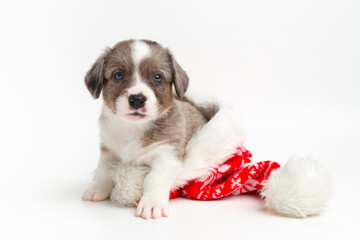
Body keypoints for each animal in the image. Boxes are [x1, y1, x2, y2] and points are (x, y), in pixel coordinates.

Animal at [82, 39, 210, 219]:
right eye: (118, 75)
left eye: (158, 77)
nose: (137, 99)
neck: (134, 128)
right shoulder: (108, 149)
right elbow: (103, 170)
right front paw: (97, 188)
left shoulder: (167, 156)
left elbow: (154, 178)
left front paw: (151, 204)